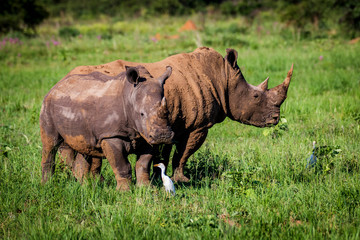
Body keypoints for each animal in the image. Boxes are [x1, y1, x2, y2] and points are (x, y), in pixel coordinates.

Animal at [39, 64, 174, 190]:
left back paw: (86, 187)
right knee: (50, 145)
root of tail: (56, 85)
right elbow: (122, 165)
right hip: (47, 104)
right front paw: (124, 191)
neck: (130, 95)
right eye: (141, 114)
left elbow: (143, 164)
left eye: (168, 112)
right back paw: (47, 185)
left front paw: (147, 189)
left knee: (84, 148)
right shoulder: (111, 135)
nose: (163, 136)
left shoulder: (146, 135)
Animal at [67, 47, 292, 182]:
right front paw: (181, 180)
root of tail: (66, 77)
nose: (275, 119)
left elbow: (166, 152)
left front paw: (160, 176)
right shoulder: (199, 126)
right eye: (256, 96)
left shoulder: (171, 123)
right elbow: (184, 152)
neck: (224, 76)